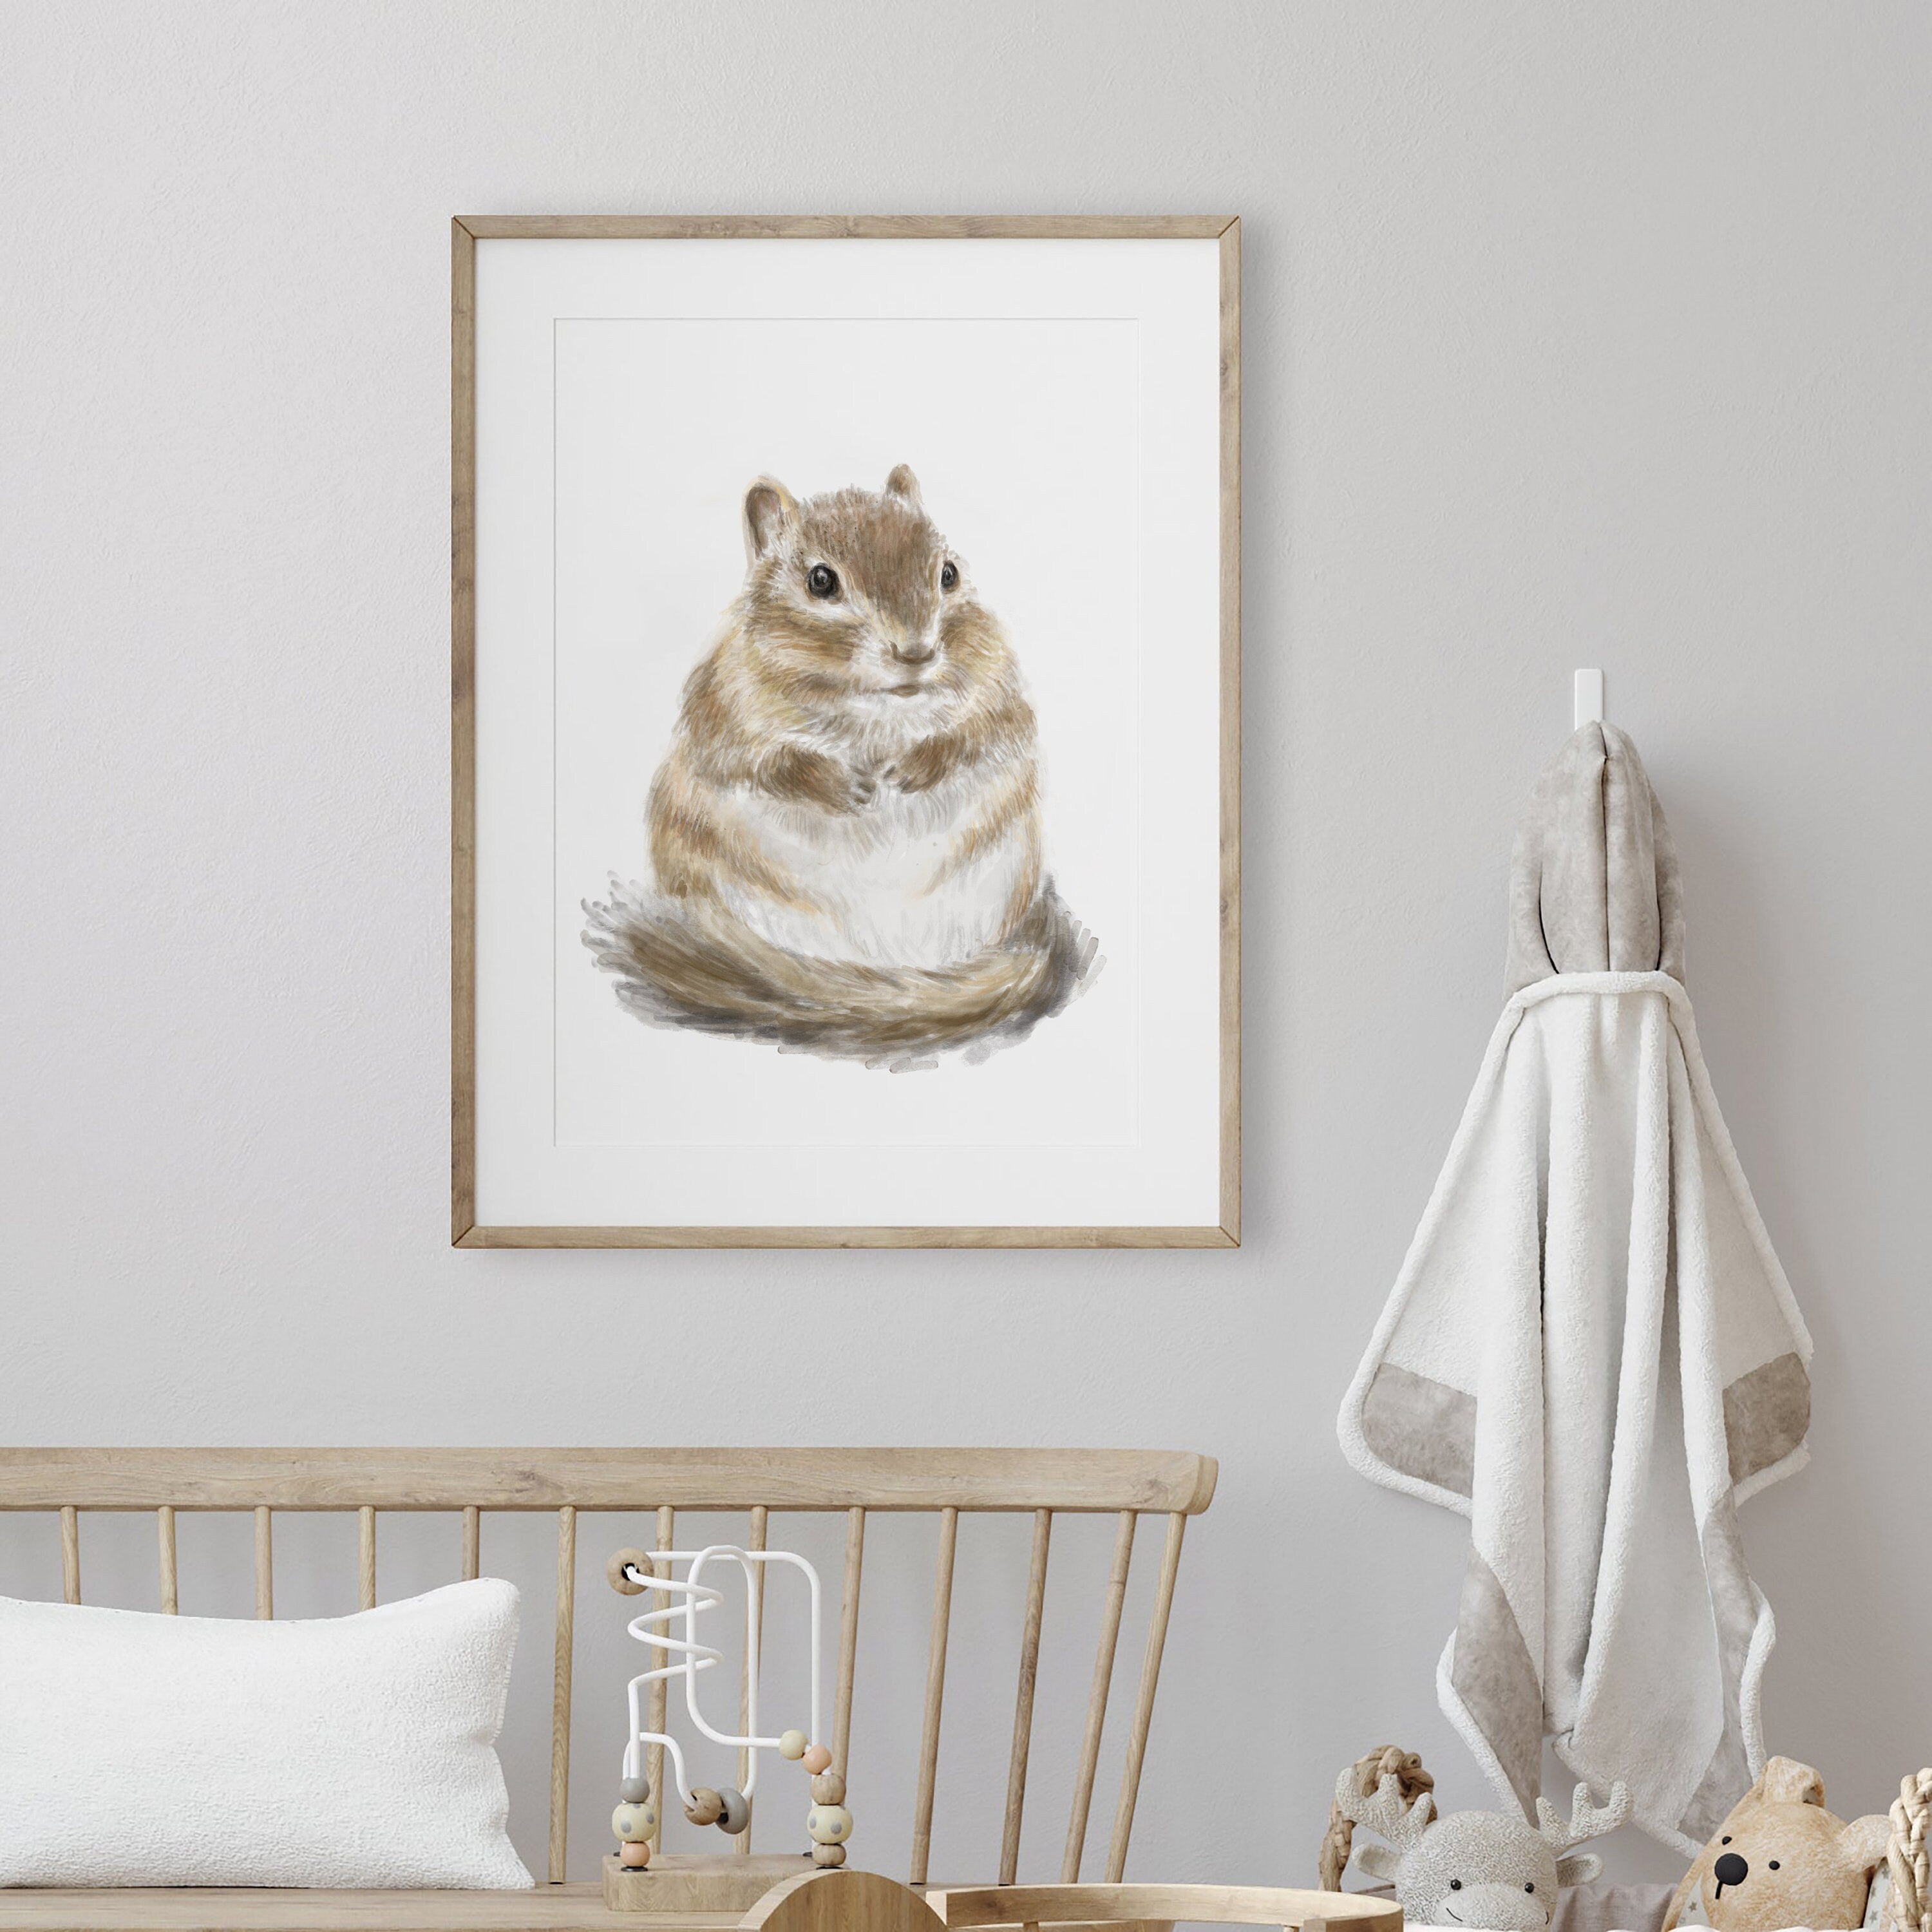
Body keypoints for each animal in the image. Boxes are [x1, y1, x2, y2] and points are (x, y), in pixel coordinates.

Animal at [584, 466, 1097, 1063]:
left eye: (948, 574)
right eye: (821, 582)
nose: (917, 652)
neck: (875, 706)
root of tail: (881, 968)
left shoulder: (1000, 693)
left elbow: (980, 735)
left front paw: (913, 768)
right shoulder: (724, 711)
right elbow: (765, 763)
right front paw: (840, 785)